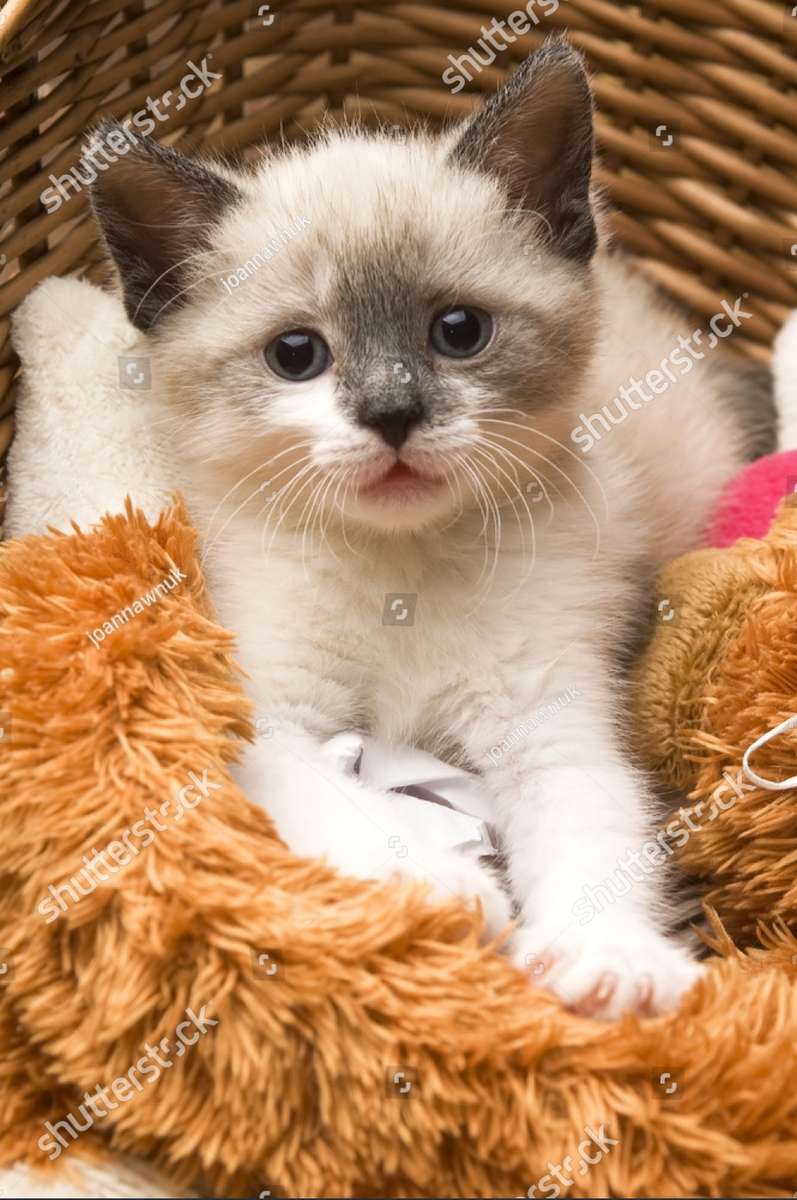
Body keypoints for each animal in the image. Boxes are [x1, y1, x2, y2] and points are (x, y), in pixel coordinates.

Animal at [91, 35, 772, 1012]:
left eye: (458, 331)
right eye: (295, 354)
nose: (392, 415)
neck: (400, 567)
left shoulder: (550, 714)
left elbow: (595, 823)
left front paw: (609, 957)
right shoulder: (260, 711)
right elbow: (326, 794)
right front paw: (432, 881)